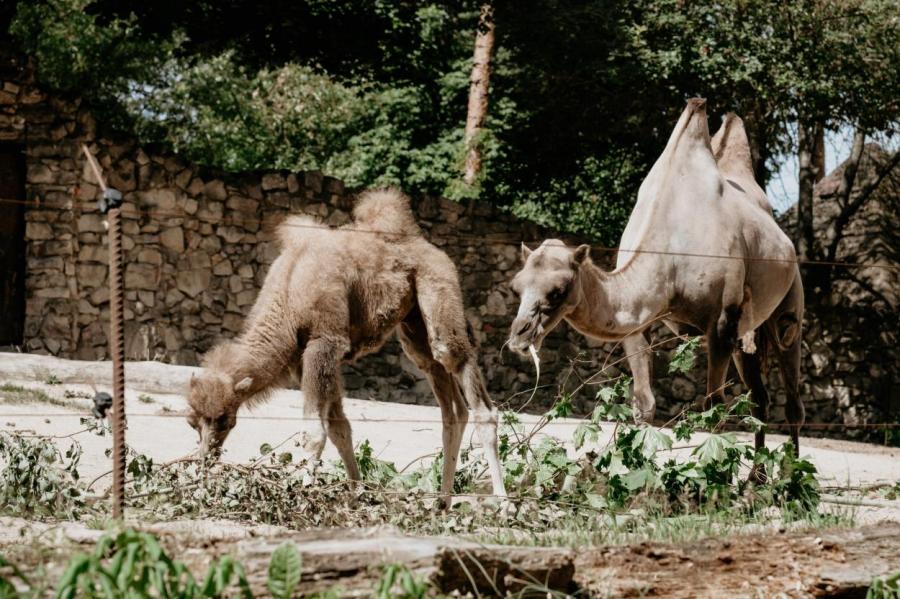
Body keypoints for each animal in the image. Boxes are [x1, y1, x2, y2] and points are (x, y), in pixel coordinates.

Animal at [185, 189, 506, 502]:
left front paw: (304, 496)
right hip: (414, 326)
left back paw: (501, 504)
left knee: (472, 390)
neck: (289, 292)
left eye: (224, 420)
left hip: (438, 291)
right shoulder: (307, 358)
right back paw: (442, 502)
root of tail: (431, 249)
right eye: (192, 422)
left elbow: (315, 431)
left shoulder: (324, 343)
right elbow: (340, 428)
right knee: (451, 409)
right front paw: (355, 495)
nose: (205, 458)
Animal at [506, 99, 808, 454]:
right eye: (516, 288)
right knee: (759, 399)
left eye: (558, 290)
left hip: (788, 304)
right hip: (745, 331)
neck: (671, 248)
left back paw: (790, 470)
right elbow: (643, 404)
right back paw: (759, 469)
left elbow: (714, 407)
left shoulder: (721, 321)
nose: (519, 335)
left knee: (791, 390)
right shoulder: (639, 323)